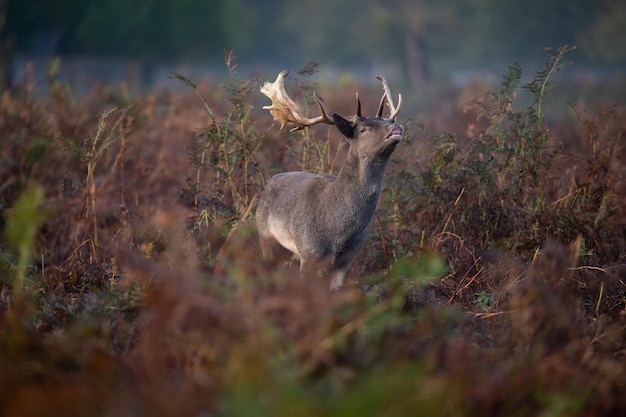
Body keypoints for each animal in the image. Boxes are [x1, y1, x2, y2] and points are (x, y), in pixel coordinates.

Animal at [255, 70, 404, 290]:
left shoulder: (346, 261)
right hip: (265, 236)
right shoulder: (309, 253)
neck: (337, 232)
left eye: (387, 121)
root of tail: (270, 182)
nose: (396, 127)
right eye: (363, 129)